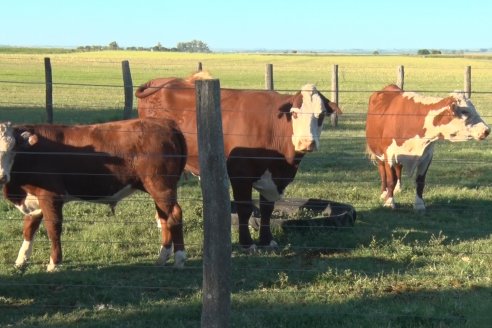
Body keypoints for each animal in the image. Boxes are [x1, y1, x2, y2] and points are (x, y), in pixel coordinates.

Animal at [0, 118, 187, 272]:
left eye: (11, 149)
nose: (2, 176)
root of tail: (165, 123)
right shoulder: (33, 200)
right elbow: (29, 229)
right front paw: (21, 260)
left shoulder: (51, 196)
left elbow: (53, 229)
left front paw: (54, 263)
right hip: (159, 191)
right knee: (166, 217)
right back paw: (163, 257)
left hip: (161, 187)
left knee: (173, 216)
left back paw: (178, 259)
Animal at [135, 73, 342, 250]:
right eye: (294, 113)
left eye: (321, 115)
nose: (307, 143)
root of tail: (160, 81)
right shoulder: (240, 174)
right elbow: (244, 209)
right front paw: (247, 243)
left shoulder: (272, 179)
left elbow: (267, 209)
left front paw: (267, 240)